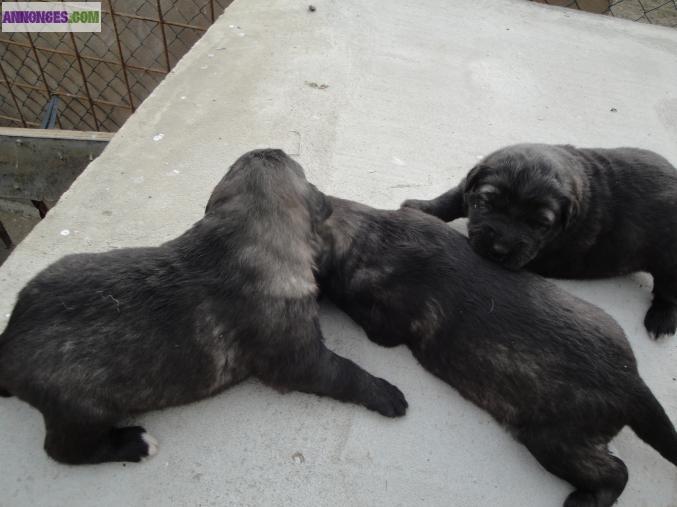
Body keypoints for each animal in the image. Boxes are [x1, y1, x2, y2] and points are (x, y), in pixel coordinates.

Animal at [0, 149, 404, 466]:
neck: (242, 237)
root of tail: (9, 340)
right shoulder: (299, 359)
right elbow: (344, 372)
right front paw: (385, 393)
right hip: (83, 409)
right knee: (64, 450)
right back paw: (135, 443)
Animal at [316, 196, 676, 507]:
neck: (374, 235)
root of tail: (632, 383)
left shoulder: (385, 325)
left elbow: (350, 302)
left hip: (553, 441)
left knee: (616, 473)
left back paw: (585, 500)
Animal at [402, 145, 676, 340]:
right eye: (486, 204)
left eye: (539, 224)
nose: (499, 250)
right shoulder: (469, 188)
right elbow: (451, 198)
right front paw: (420, 207)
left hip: (666, 260)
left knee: (668, 289)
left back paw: (661, 318)